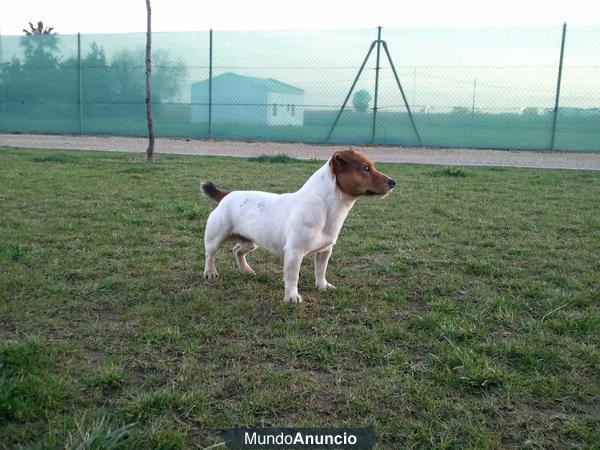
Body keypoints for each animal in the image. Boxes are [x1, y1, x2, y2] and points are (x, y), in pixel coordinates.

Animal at [204, 150, 396, 302]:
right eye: (366, 168)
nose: (393, 182)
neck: (325, 206)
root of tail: (226, 195)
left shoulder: (325, 250)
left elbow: (321, 270)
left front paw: (322, 286)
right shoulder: (294, 252)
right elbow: (292, 277)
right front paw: (291, 297)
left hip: (251, 242)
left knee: (237, 250)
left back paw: (246, 270)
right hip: (216, 238)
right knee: (210, 255)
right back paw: (210, 273)